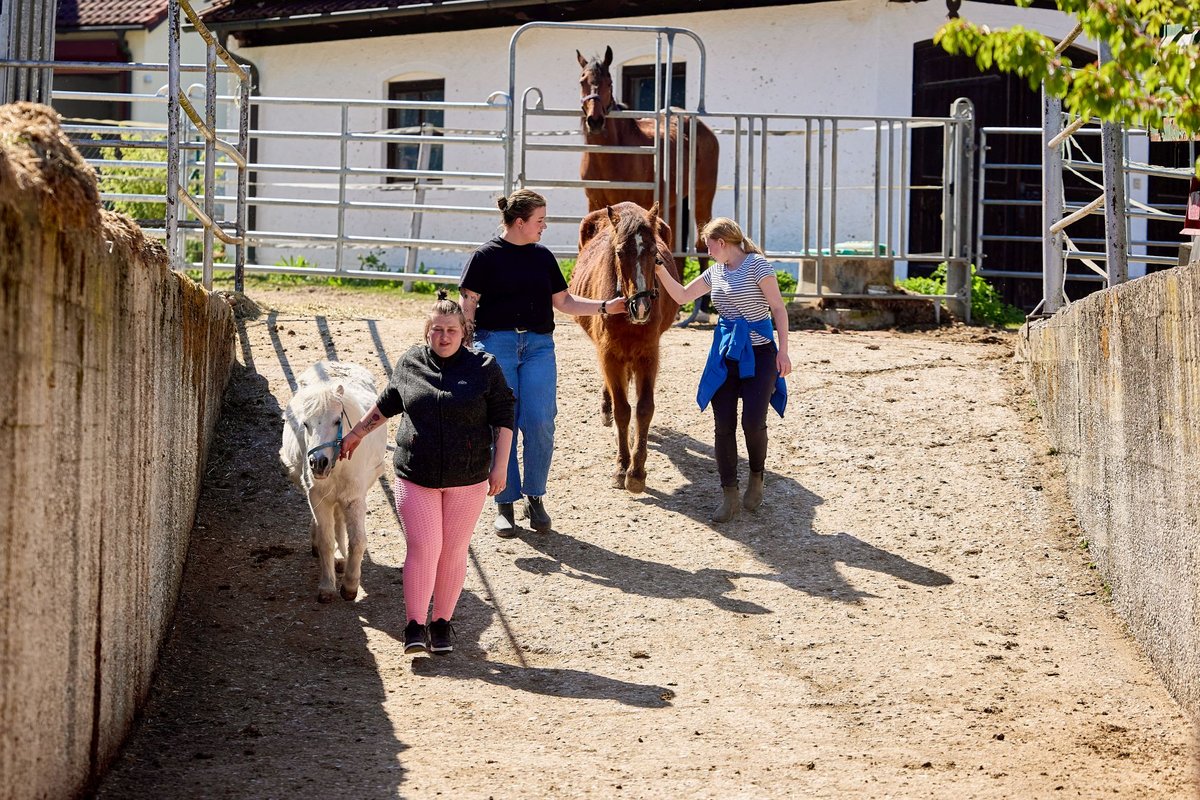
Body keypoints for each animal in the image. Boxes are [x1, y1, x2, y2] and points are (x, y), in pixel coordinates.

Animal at [280, 361, 387, 603]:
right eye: (305, 424)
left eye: (337, 420)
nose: (318, 463)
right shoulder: (318, 498)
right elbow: (326, 541)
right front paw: (327, 587)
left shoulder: (354, 498)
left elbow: (357, 541)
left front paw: (350, 585)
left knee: (339, 520)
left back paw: (341, 559)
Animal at [570, 201, 681, 493]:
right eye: (619, 252)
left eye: (654, 253)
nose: (641, 307)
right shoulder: (610, 355)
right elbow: (623, 411)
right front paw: (622, 467)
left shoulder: (648, 355)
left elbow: (643, 409)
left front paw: (637, 472)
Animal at [576, 46, 719, 264]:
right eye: (582, 81)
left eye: (609, 82)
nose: (595, 121)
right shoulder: (594, 202)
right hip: (674, 204)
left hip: (702, 196)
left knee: (701, 247)